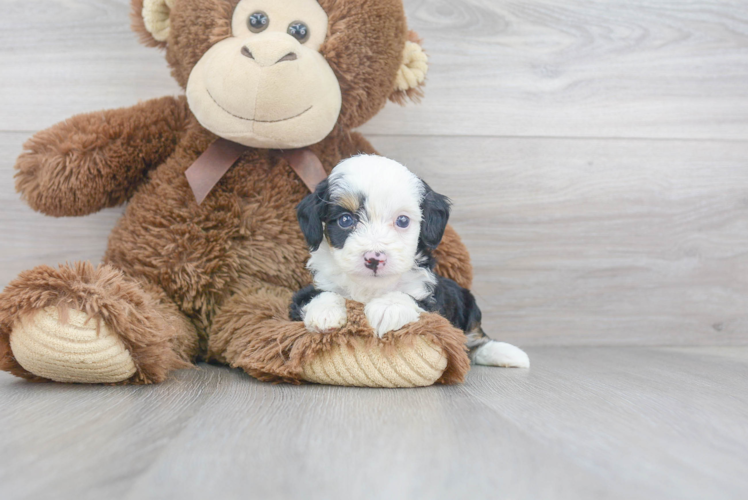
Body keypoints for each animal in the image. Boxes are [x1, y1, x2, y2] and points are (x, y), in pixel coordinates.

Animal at [290, 154, 528, 370]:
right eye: (345, 220)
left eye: (402, 221)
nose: (374, 259)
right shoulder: (305, 293)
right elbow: (317, 294)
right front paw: (325, 313)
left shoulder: (432, 300)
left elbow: (411, 299)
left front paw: (387, 308)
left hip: (467, 301)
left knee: (474, 339)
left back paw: (507, 353)